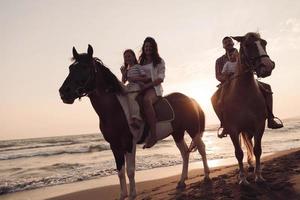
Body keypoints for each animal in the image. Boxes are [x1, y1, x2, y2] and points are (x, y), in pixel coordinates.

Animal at [58, 45, 209, 200]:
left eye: (84, 67)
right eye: (70, 68)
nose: (64, 92)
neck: (115, 109)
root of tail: (191, 99)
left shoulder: (129, 142)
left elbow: (130, 170)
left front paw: (132, 195)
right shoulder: (114, 145)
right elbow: (120, 171)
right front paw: (123, 195)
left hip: (192, 130)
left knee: (201, 148)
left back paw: (206, 176)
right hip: (177, 133)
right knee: (185, 153)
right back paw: (182, 181)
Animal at [212, 32, 276, 184]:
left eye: (264, 43)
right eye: (247, 45)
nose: (267, 66)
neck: (244, 94)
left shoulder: (259, 125)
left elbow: (257, 149)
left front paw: (258, 176)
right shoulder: (233, 129)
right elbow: (238, 153)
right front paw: (242, 178)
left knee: (250, 145)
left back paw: (252, 166)